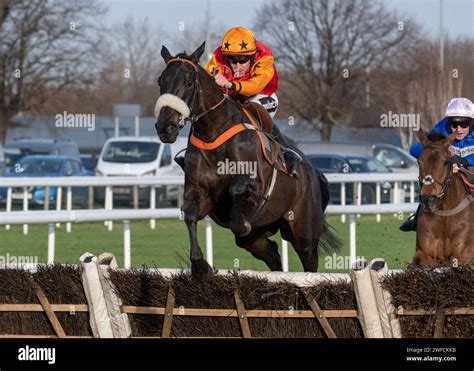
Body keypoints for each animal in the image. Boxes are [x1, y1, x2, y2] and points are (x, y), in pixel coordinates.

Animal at [154, 42, 338, 280]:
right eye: (161, 81)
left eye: (188, 82)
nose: (165, 127)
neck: (214, 131)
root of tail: (313, 173)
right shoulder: (198, 191)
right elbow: (190, 215)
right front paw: (200, 266)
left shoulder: (255, 183)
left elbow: (238, 191)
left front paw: (240, 220)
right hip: (257, 237)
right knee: (272, 253)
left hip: (303, 231)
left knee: (309, 261)